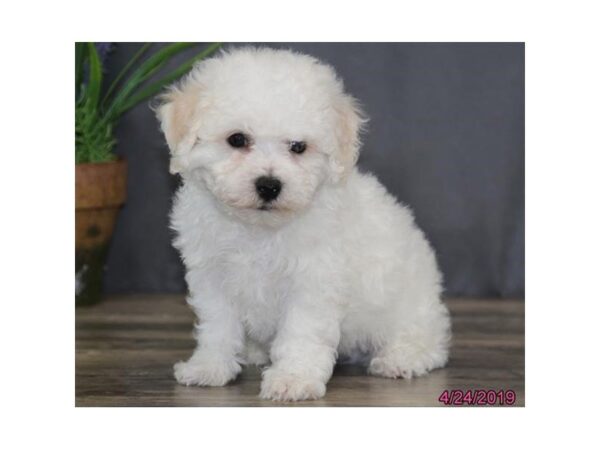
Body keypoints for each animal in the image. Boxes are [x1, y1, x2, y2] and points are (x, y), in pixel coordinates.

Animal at [155, 47, 450, 402]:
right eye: (237, 139)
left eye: (298, 147)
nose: (269, 185)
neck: (259, 229)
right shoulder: (212, 276)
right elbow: (218, 325)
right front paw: (209, 367)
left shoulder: (313, 281)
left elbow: (301, 332)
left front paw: (292, 379)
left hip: (407, 305)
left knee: (427, 340)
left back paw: (401, 358)